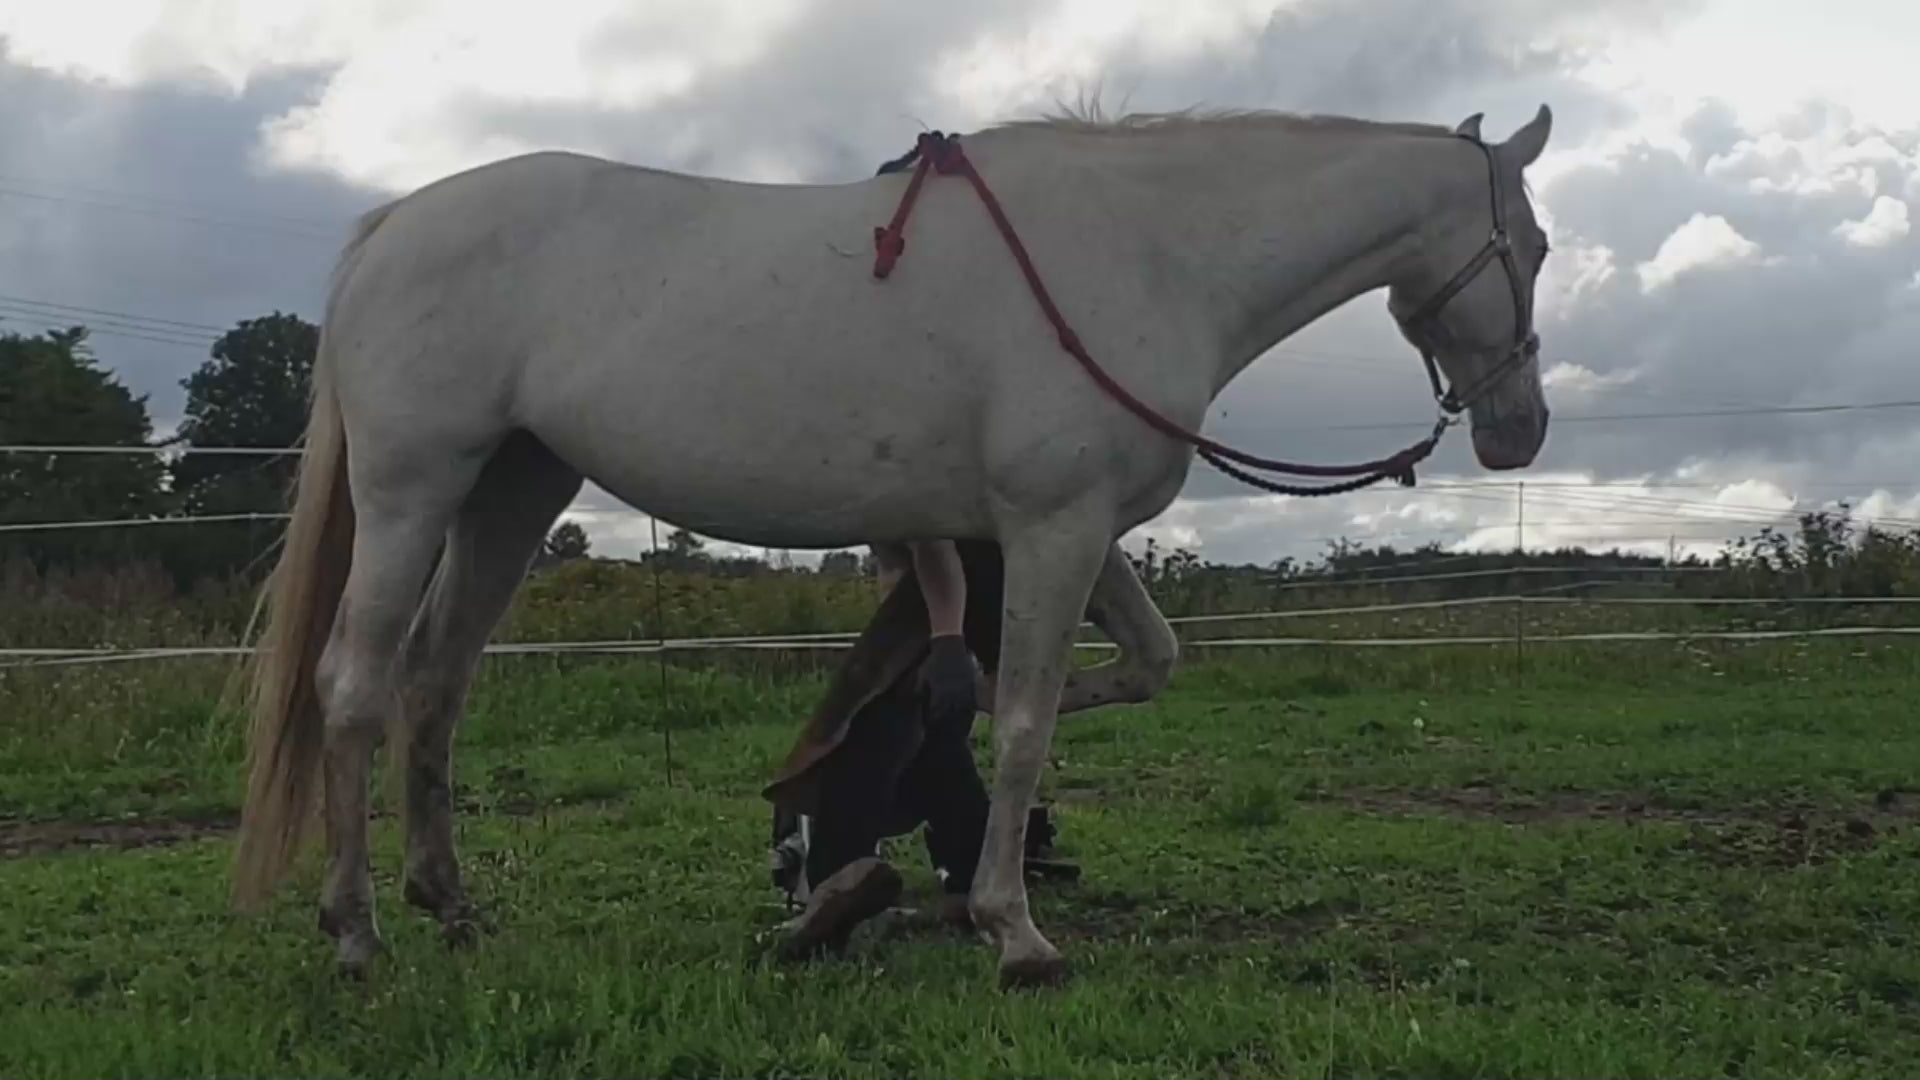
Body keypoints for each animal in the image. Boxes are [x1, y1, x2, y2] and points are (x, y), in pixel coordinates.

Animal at [232, 102, 1551, 983]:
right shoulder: (1053, 527)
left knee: (435, 689)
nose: (1519, 430)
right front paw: (1015, 930)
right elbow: (1020, 726)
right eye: (1532, 249)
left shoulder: (1065, 533)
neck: (1139, 251)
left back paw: (449, 907)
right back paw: (355, 933)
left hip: (506, 497)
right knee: (356, 689)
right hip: (412, 494)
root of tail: (396, 223)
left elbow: (1136, 666)